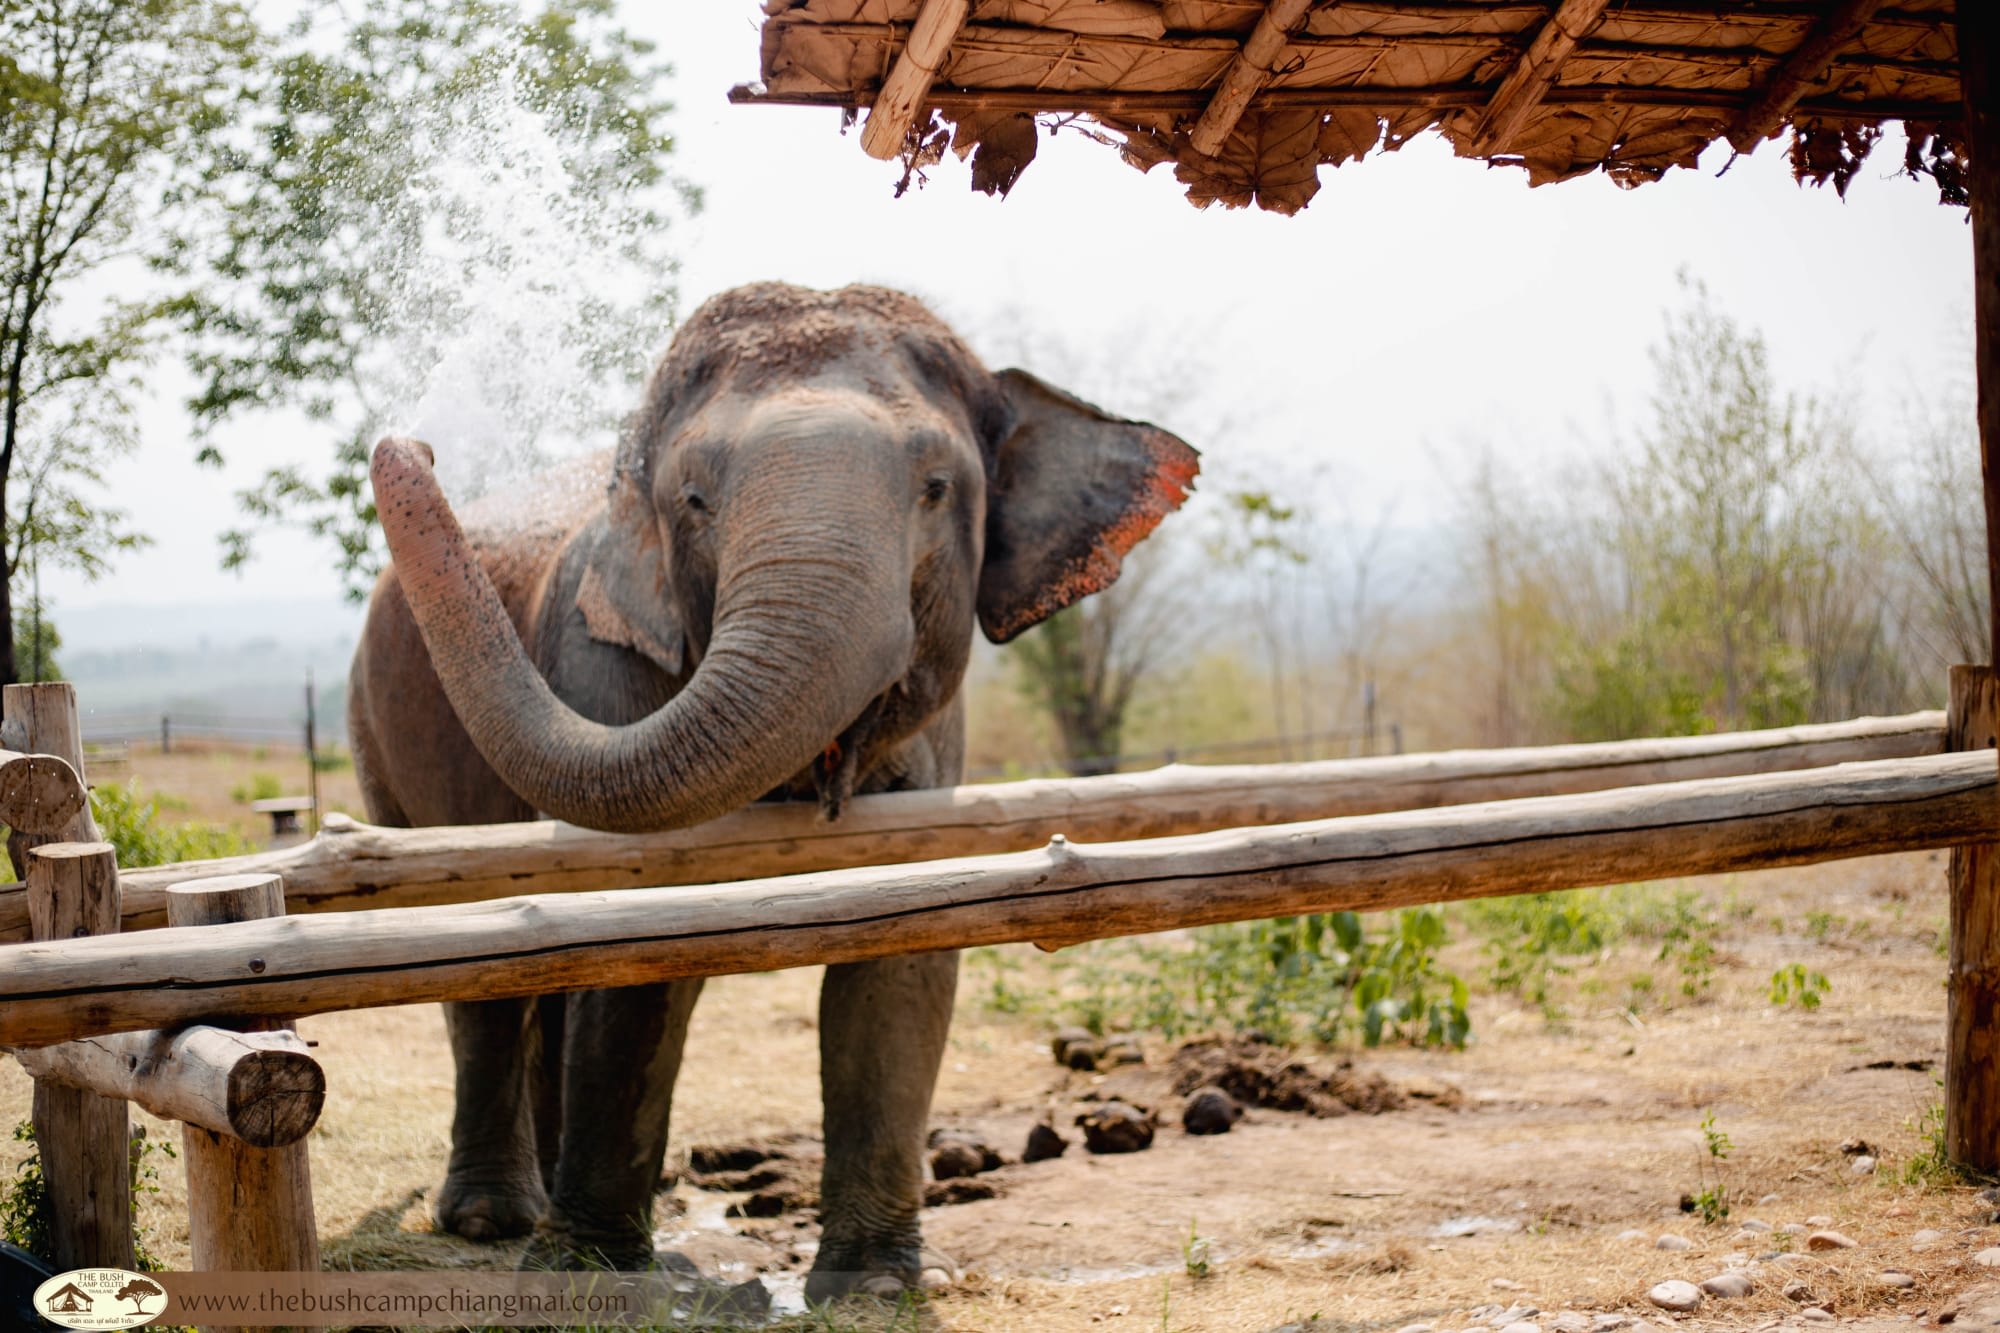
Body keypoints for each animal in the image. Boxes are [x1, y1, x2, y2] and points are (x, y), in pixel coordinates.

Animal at [347, 282, 1199, 1298]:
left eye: (937, 489)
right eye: (693, 500)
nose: (418, 441)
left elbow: (901, 955)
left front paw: (872, 1288)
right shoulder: (602, 660)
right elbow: (634, 947)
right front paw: (597, 1274)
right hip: (375, 742)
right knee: (483, 972)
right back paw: (495, 1221)